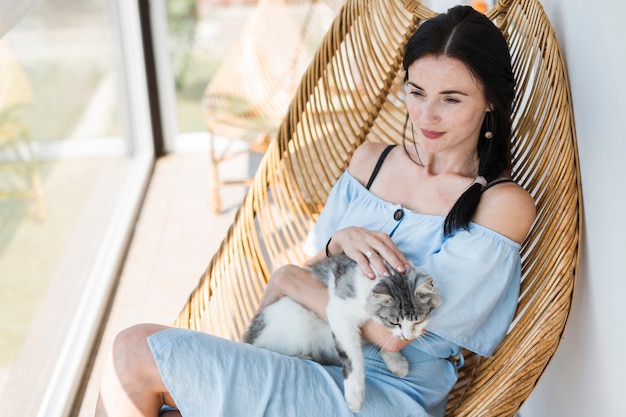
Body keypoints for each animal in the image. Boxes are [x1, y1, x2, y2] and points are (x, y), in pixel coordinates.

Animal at [241, 252, 442, 412]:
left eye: (418, 320)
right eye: (395, 321)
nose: (409, 337)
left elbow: (386, 340)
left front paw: (397, 363)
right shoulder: (340, 313)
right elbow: (354, 358)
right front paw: (355, 395)